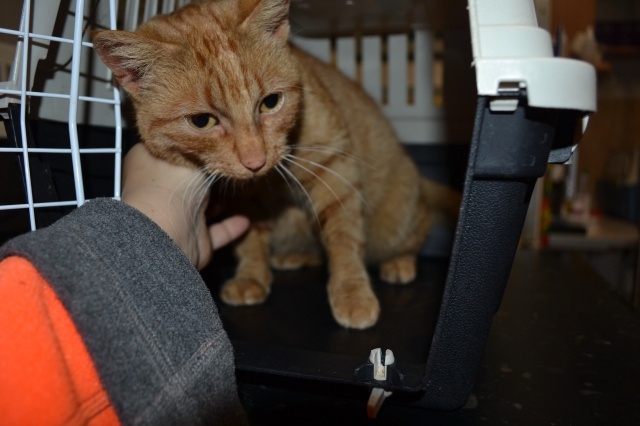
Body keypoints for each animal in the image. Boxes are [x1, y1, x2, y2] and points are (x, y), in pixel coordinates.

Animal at [93, 0, 460, 329]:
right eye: (201, 121)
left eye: (271, 102)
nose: (256, 161)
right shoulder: (244, 202)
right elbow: (251, 241)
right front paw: (252, 277)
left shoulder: (335, 169)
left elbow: (344, 240)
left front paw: (352, 292)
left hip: (398, 220)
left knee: (411, 237)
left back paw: (398, 263)